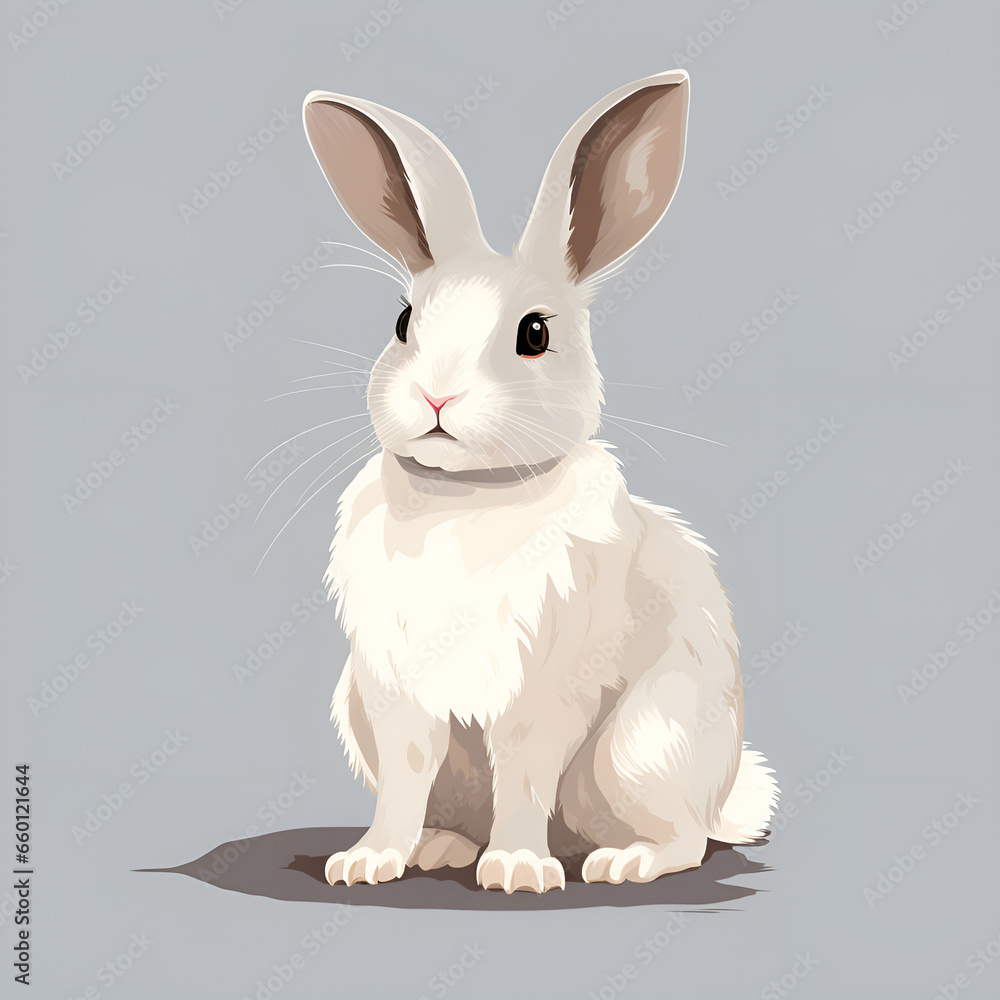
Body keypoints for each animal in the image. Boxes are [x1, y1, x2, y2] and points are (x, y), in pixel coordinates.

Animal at [301, 68, 778, 893]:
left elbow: (523, 773)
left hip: (642, 748)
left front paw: (519, 871)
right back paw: (440, 847)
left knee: (684, 838)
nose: (436, 397)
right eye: (402, 324)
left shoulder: (544, 687)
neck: (469, 494)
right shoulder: (395, 692)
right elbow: (403, 777)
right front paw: (366, 862)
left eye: (535, 334)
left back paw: (622, 862)